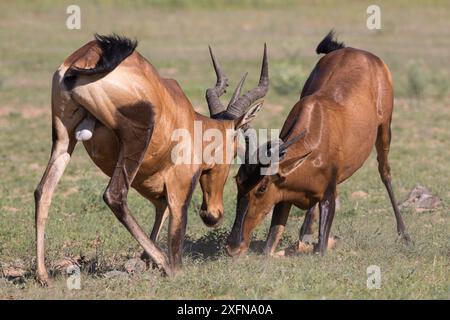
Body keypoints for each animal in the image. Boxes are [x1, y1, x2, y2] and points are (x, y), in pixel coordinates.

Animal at [35, 34, 268, 284]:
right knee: (114, 195)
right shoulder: (179, 183)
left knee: (43, 191)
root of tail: (90, 56)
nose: (213, 215)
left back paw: (43, 276)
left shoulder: (157, 187)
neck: (187, 117)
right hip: (137, 136)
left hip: (63, 137)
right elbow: (176, 220)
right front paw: (174, 269)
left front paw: (144, 262)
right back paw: (166, 264)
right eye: (234, 151)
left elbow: (160, 212)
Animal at [227, 30, 410, 258]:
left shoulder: (329, 194)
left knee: (385, 171)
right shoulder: (284, 197)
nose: (233, 246)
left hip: (385, 126)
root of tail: (353, 50)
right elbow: (268, 249)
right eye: (237, 180)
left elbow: (321, 249)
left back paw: (405, 234)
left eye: (262, 187)